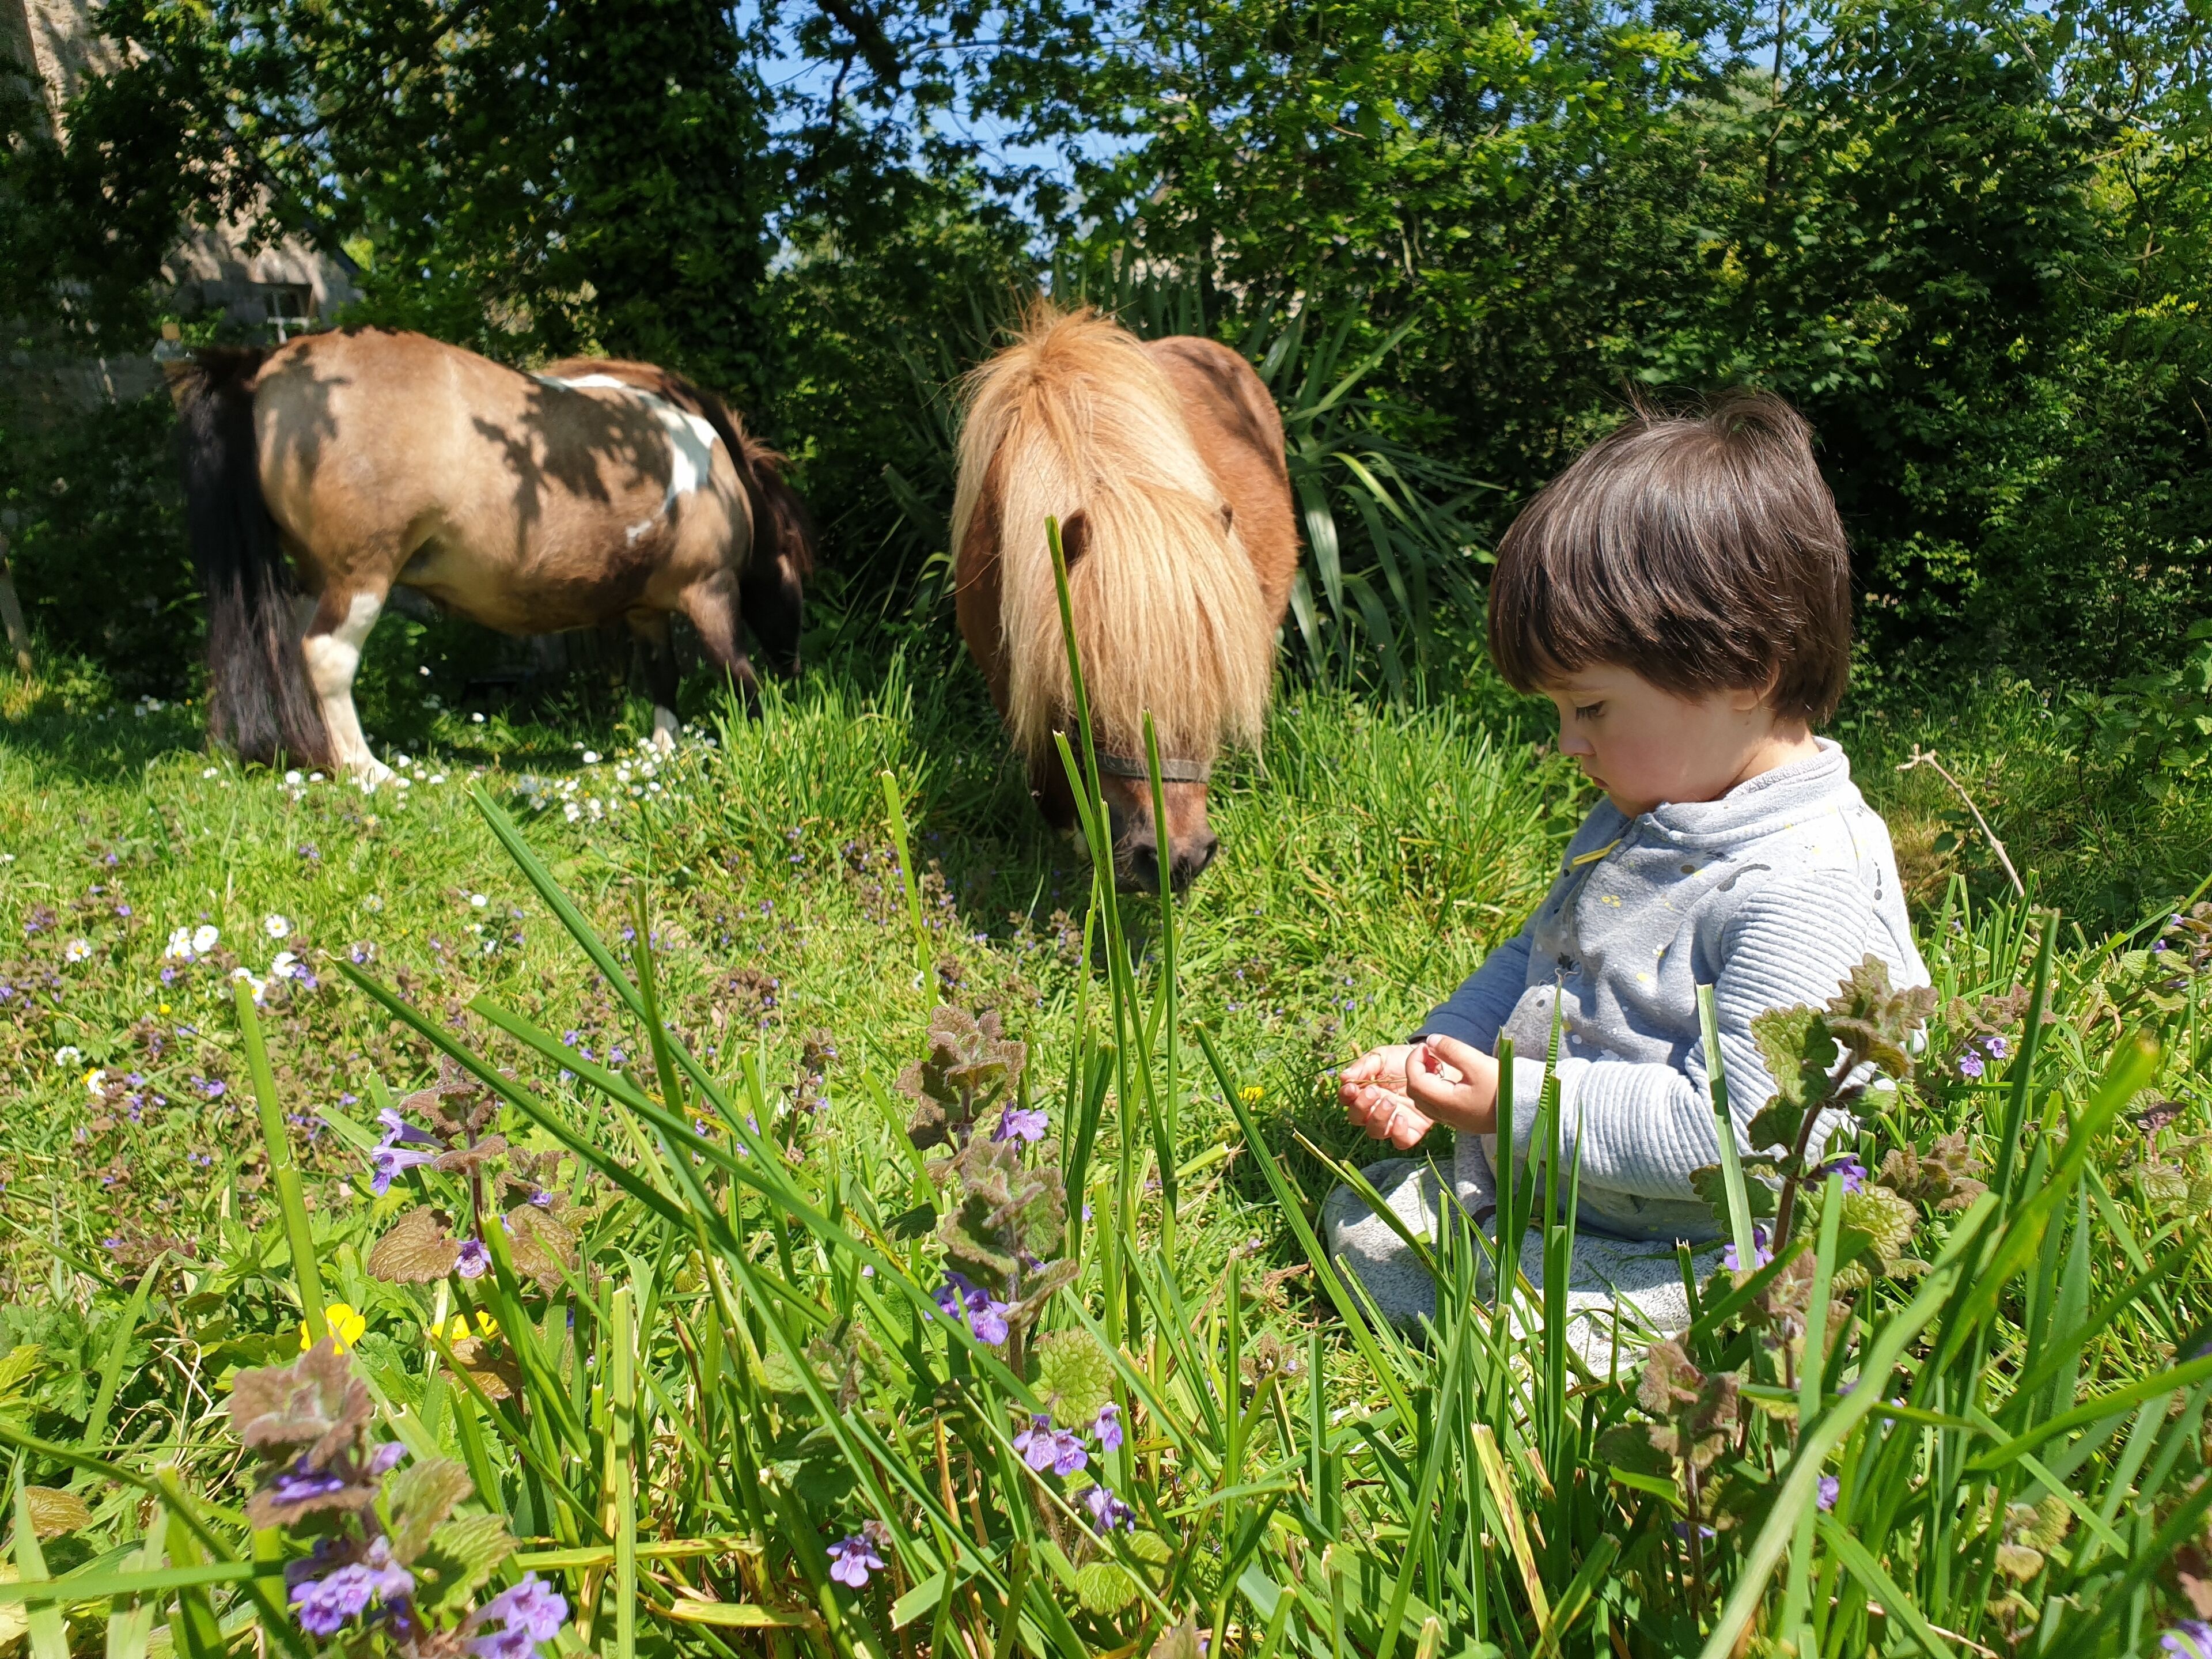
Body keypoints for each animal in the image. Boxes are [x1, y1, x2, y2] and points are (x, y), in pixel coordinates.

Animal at [170, 327, 813, 784]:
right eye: (798, 574)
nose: (795, 668)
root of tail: (268, 365)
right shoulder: (710, 589)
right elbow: (737, 672)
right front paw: (767, 737)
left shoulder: (646, 610)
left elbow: (663, 678)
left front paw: (664, 751)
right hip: (361, 575)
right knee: (326, 655)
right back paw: (367, 770)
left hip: (315, 579)